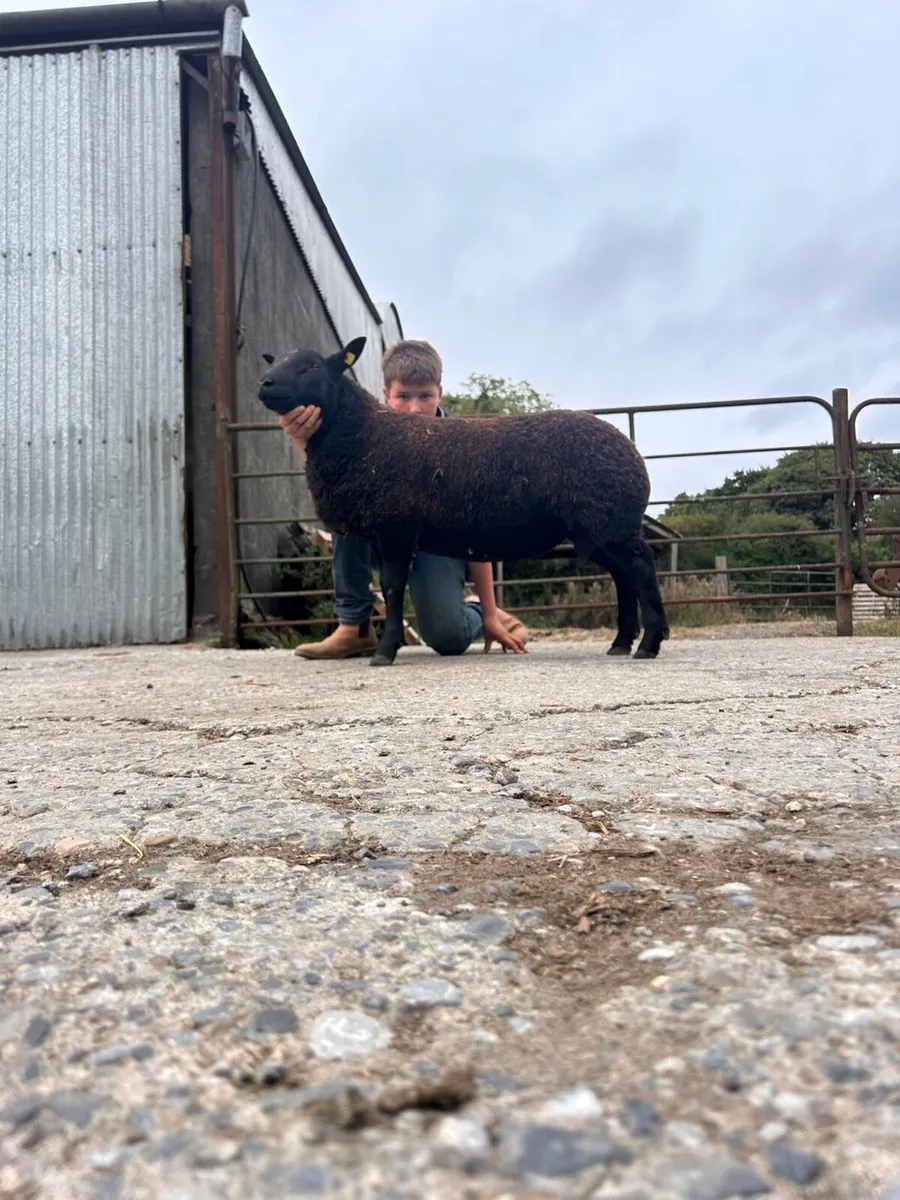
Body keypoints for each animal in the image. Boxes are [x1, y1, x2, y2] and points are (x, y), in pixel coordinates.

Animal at [258, 336, 670, 667]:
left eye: (312, 366)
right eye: (275, 362)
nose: (264, 384)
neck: (363, 434)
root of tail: (632, 453)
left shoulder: (395, 530)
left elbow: (392, 589)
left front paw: (385, 653)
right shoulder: (380, 535)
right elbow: (387, 591)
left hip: (611, 521)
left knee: (642, 567)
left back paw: (648, 644)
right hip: (594, 530)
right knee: (622, 575)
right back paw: (620, 643)